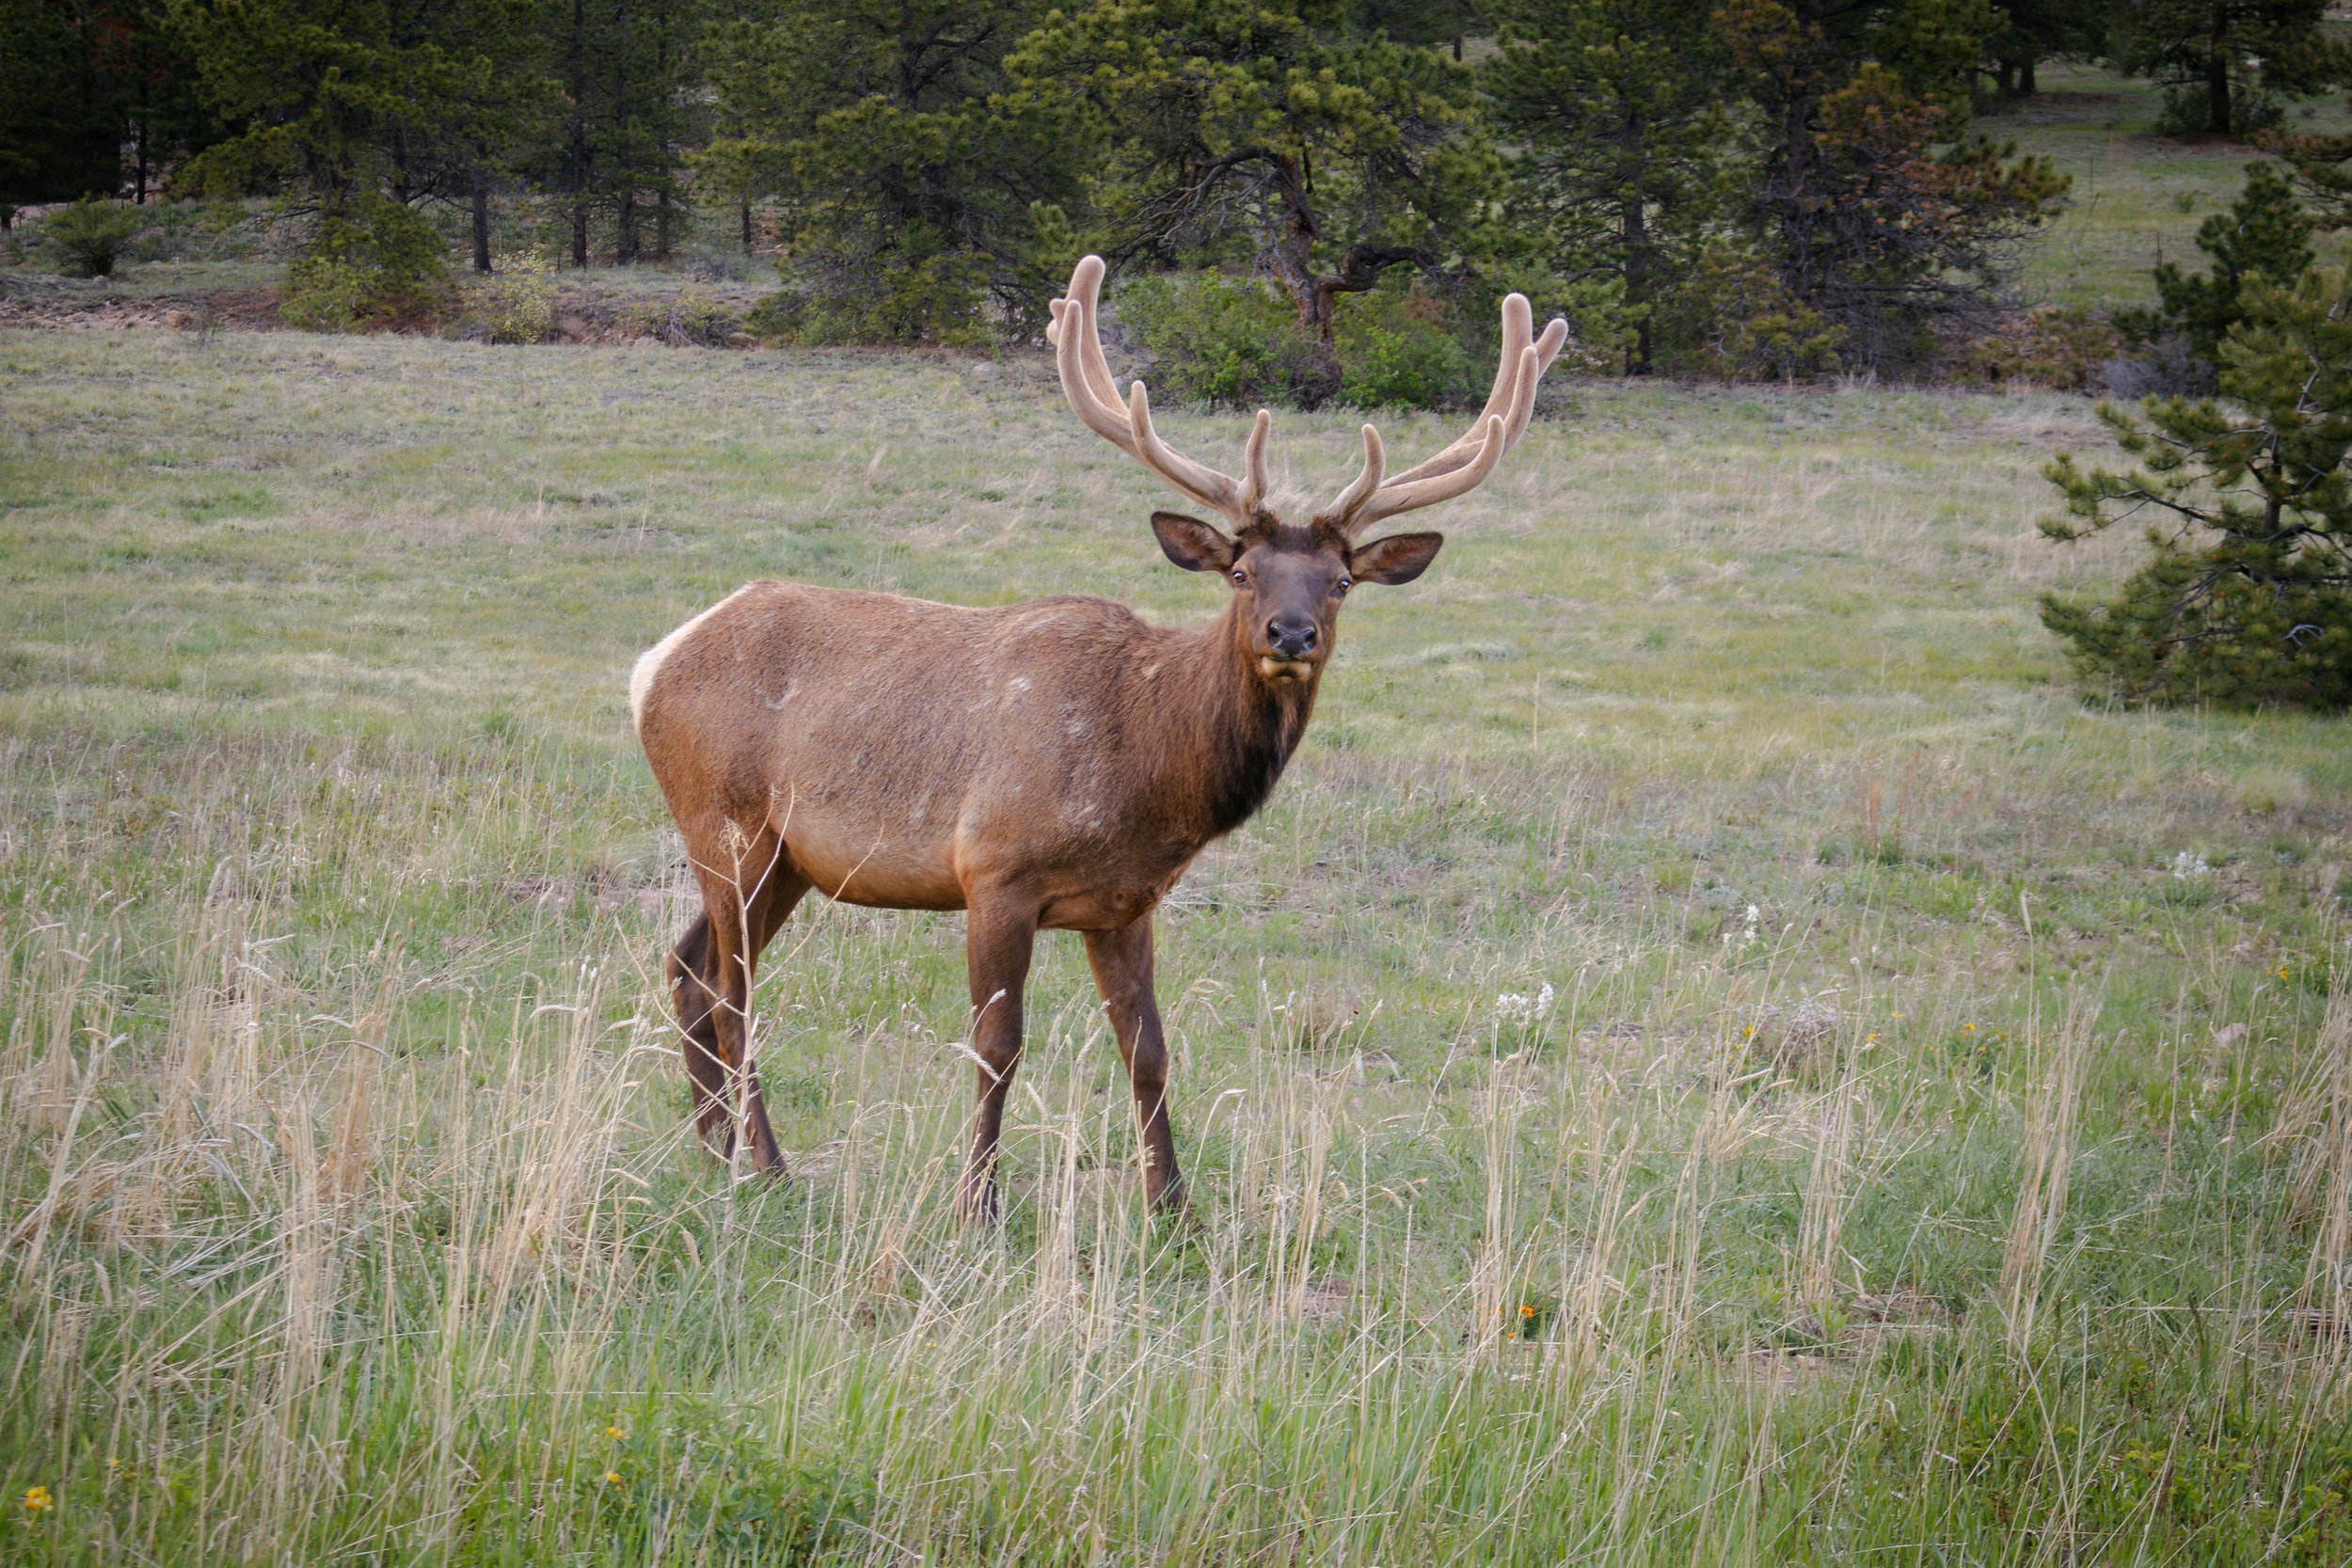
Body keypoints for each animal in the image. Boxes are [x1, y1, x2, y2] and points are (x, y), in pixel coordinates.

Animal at [630, 254, 1566, 1221]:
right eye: (1241, 572)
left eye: (1341, 580)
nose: (1292, 633)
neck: (1147, 773)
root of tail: (653, 664)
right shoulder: (993, 868)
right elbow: (997, 1044)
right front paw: (978, 1203)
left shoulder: (1126, 902)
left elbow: (1148, 1047)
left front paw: (1174, 1207)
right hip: (725, 823)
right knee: (732, 993)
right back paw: (767, 1163)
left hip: (788, 858)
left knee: (689, 967)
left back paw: (713, 1148)